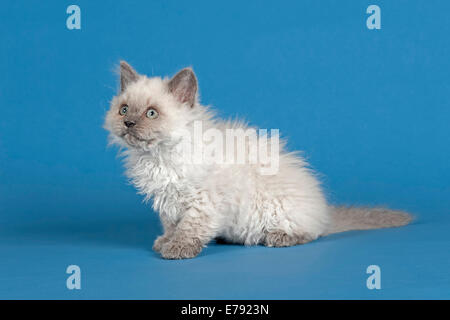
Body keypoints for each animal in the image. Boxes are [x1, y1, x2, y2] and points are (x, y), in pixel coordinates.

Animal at [103, 61, 414, 258]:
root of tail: (325, 213)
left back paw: (278, 238)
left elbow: (189, 228)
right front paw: (165, 242)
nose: (129, 123)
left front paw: (177, 250)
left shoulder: (203, 202)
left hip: (280, 211)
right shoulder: (168, 202)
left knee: (310, 233)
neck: (159, 156)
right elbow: (172, 226)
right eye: (124, 109)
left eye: (151, 113)